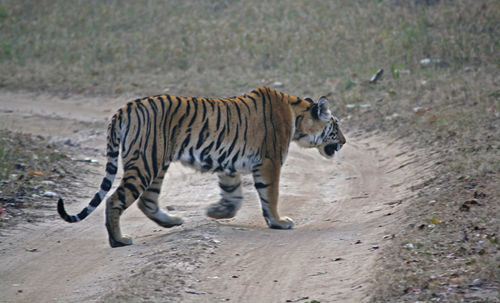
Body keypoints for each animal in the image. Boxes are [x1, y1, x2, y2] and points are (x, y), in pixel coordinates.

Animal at [56, 86, 346, 248]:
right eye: (336, 126)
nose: (344, 142)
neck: (297, 117)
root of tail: (124, 108)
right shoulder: (269, 161)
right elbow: (270, 194)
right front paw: (278, 221)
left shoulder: (230, 163)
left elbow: (233, 194)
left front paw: (217, 212)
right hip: (145, 163)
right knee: (115, 199)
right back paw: (119, 241)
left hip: (156, 163)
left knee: (146, 201)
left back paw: (172, 221)